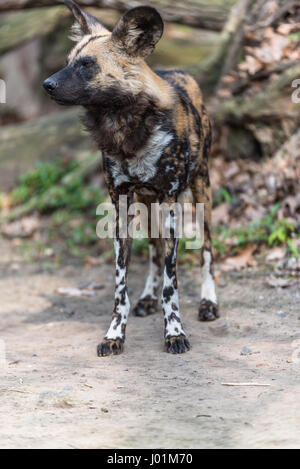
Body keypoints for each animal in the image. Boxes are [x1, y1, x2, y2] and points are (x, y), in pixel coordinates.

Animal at [43, 0, 219, 354]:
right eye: (68, 62)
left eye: (87, 65)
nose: (47, 84)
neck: (125, 126)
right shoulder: (122, 207)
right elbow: (121, 285)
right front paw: (114, 335)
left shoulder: (172, 204)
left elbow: (172, 284)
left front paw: (175, 333)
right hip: (148, 205)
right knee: (153, 252)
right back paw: (147, 297)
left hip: (200, 192)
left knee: (206, 250)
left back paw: (208, 303)